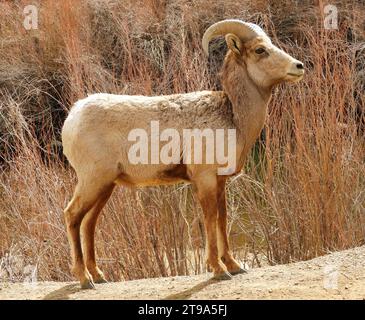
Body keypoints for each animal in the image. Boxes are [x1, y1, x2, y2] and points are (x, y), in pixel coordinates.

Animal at [61, 18, 302, 288]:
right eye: (260, 50)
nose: (299, 66)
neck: (234, 120)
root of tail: (72, 117)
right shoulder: (205, 180)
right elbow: (209, 220)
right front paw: (218, 270)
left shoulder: (220, 183)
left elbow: (222, 220)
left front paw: (234, 266)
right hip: (92, 181)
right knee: (72, 216)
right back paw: (84, 279)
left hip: (105, 186)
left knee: (89, 223)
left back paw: (99, 276)